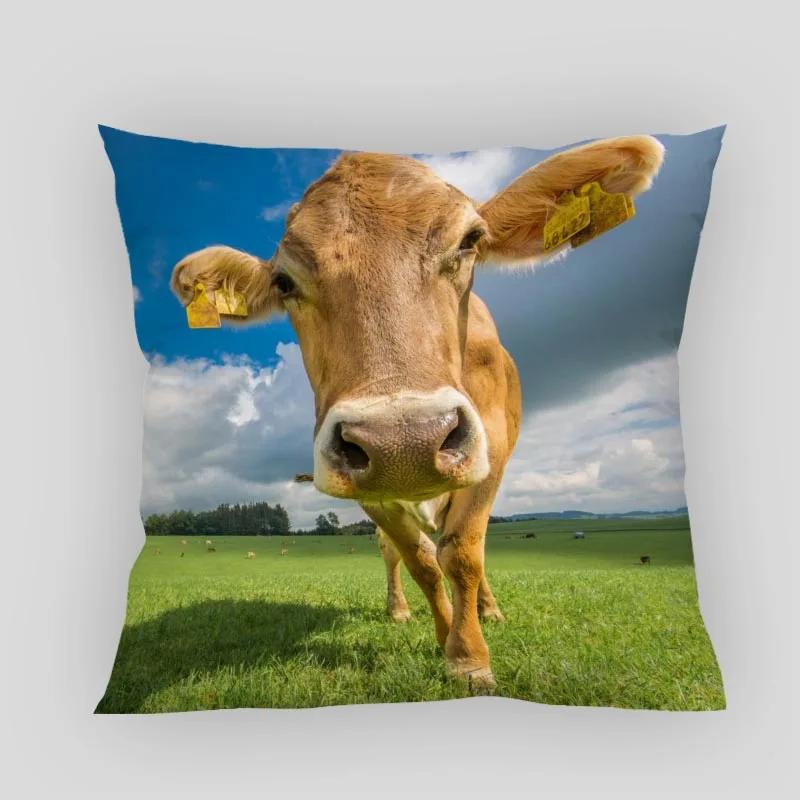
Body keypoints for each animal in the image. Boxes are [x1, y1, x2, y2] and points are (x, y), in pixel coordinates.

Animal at [171, 136, 663, 691]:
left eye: (470, 240)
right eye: (283, 281)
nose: (403, 440)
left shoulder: (490, 452)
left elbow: (463, 553)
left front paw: (470, 657)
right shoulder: (369, 487)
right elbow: (421, 561)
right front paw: (446, 639)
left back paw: (489, 610)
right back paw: (401, 609)